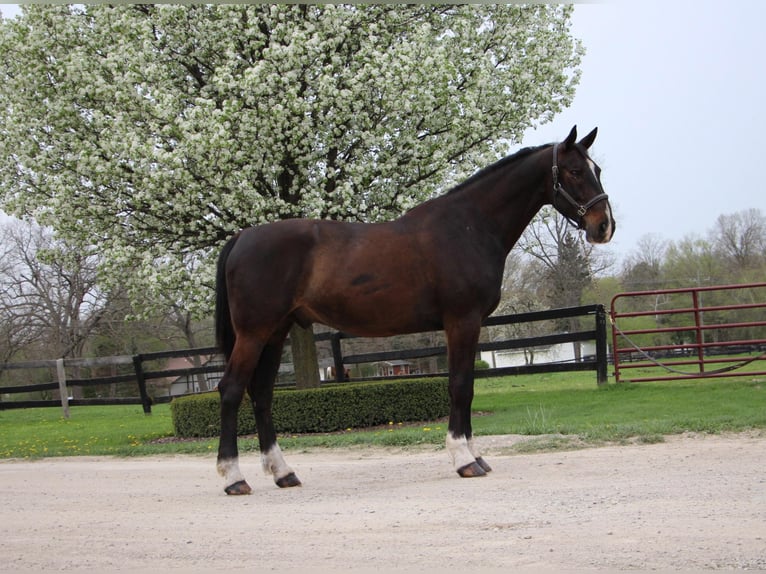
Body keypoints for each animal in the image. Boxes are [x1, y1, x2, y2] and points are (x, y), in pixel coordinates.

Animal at [213, 126, 616, 496]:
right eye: (575, 172)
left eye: (597, 169)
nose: (604, 226)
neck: (469, 226)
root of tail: (241, 237)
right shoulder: (462, 321)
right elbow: (459, 386)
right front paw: (464, 460)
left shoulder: (470, 325)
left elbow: (468, 385)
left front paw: (476, 455)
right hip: (254, 333)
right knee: (231, 389)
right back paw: (234, 478)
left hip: (275, 333)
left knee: (261, 394)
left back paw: (283, 472)